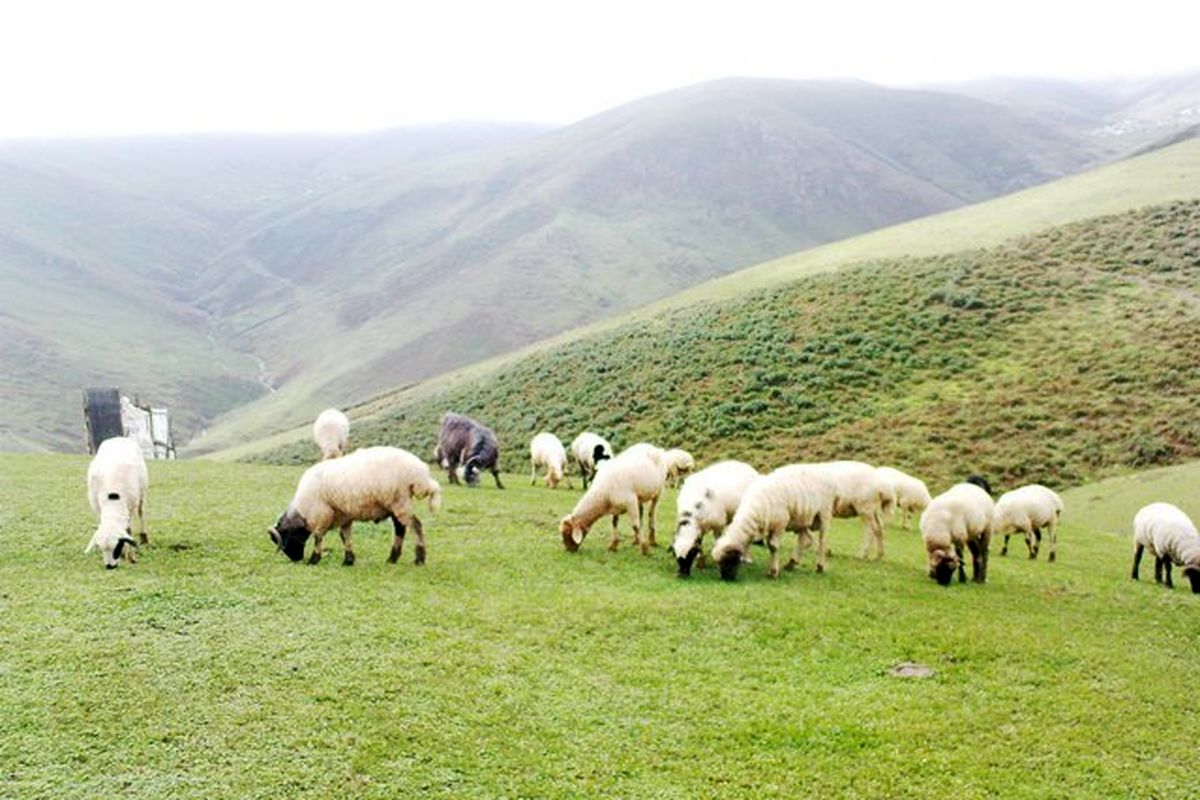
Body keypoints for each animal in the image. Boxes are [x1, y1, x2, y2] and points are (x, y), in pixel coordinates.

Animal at [84, 438, 148, 568]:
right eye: (102, 549)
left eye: (117, 547)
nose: (110, 567)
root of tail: (118, 438)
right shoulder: (97, 506)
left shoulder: (130, 507)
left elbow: (128, 531)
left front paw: (131, 557)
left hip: (142, 492)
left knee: (141, 512)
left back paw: (144, 538)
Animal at [270, 443, 444, 568]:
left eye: (285, 538)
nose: (296, 559)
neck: (303, 510)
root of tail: (419, 472)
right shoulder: (343, 515)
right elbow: (345, 536)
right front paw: (348, 560)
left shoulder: (321, 514)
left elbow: (318, 537)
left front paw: (314, 560)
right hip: (395, 504)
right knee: (400, 529)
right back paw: (392, 558)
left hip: (400, 501)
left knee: (415, 525)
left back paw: (419, 559)